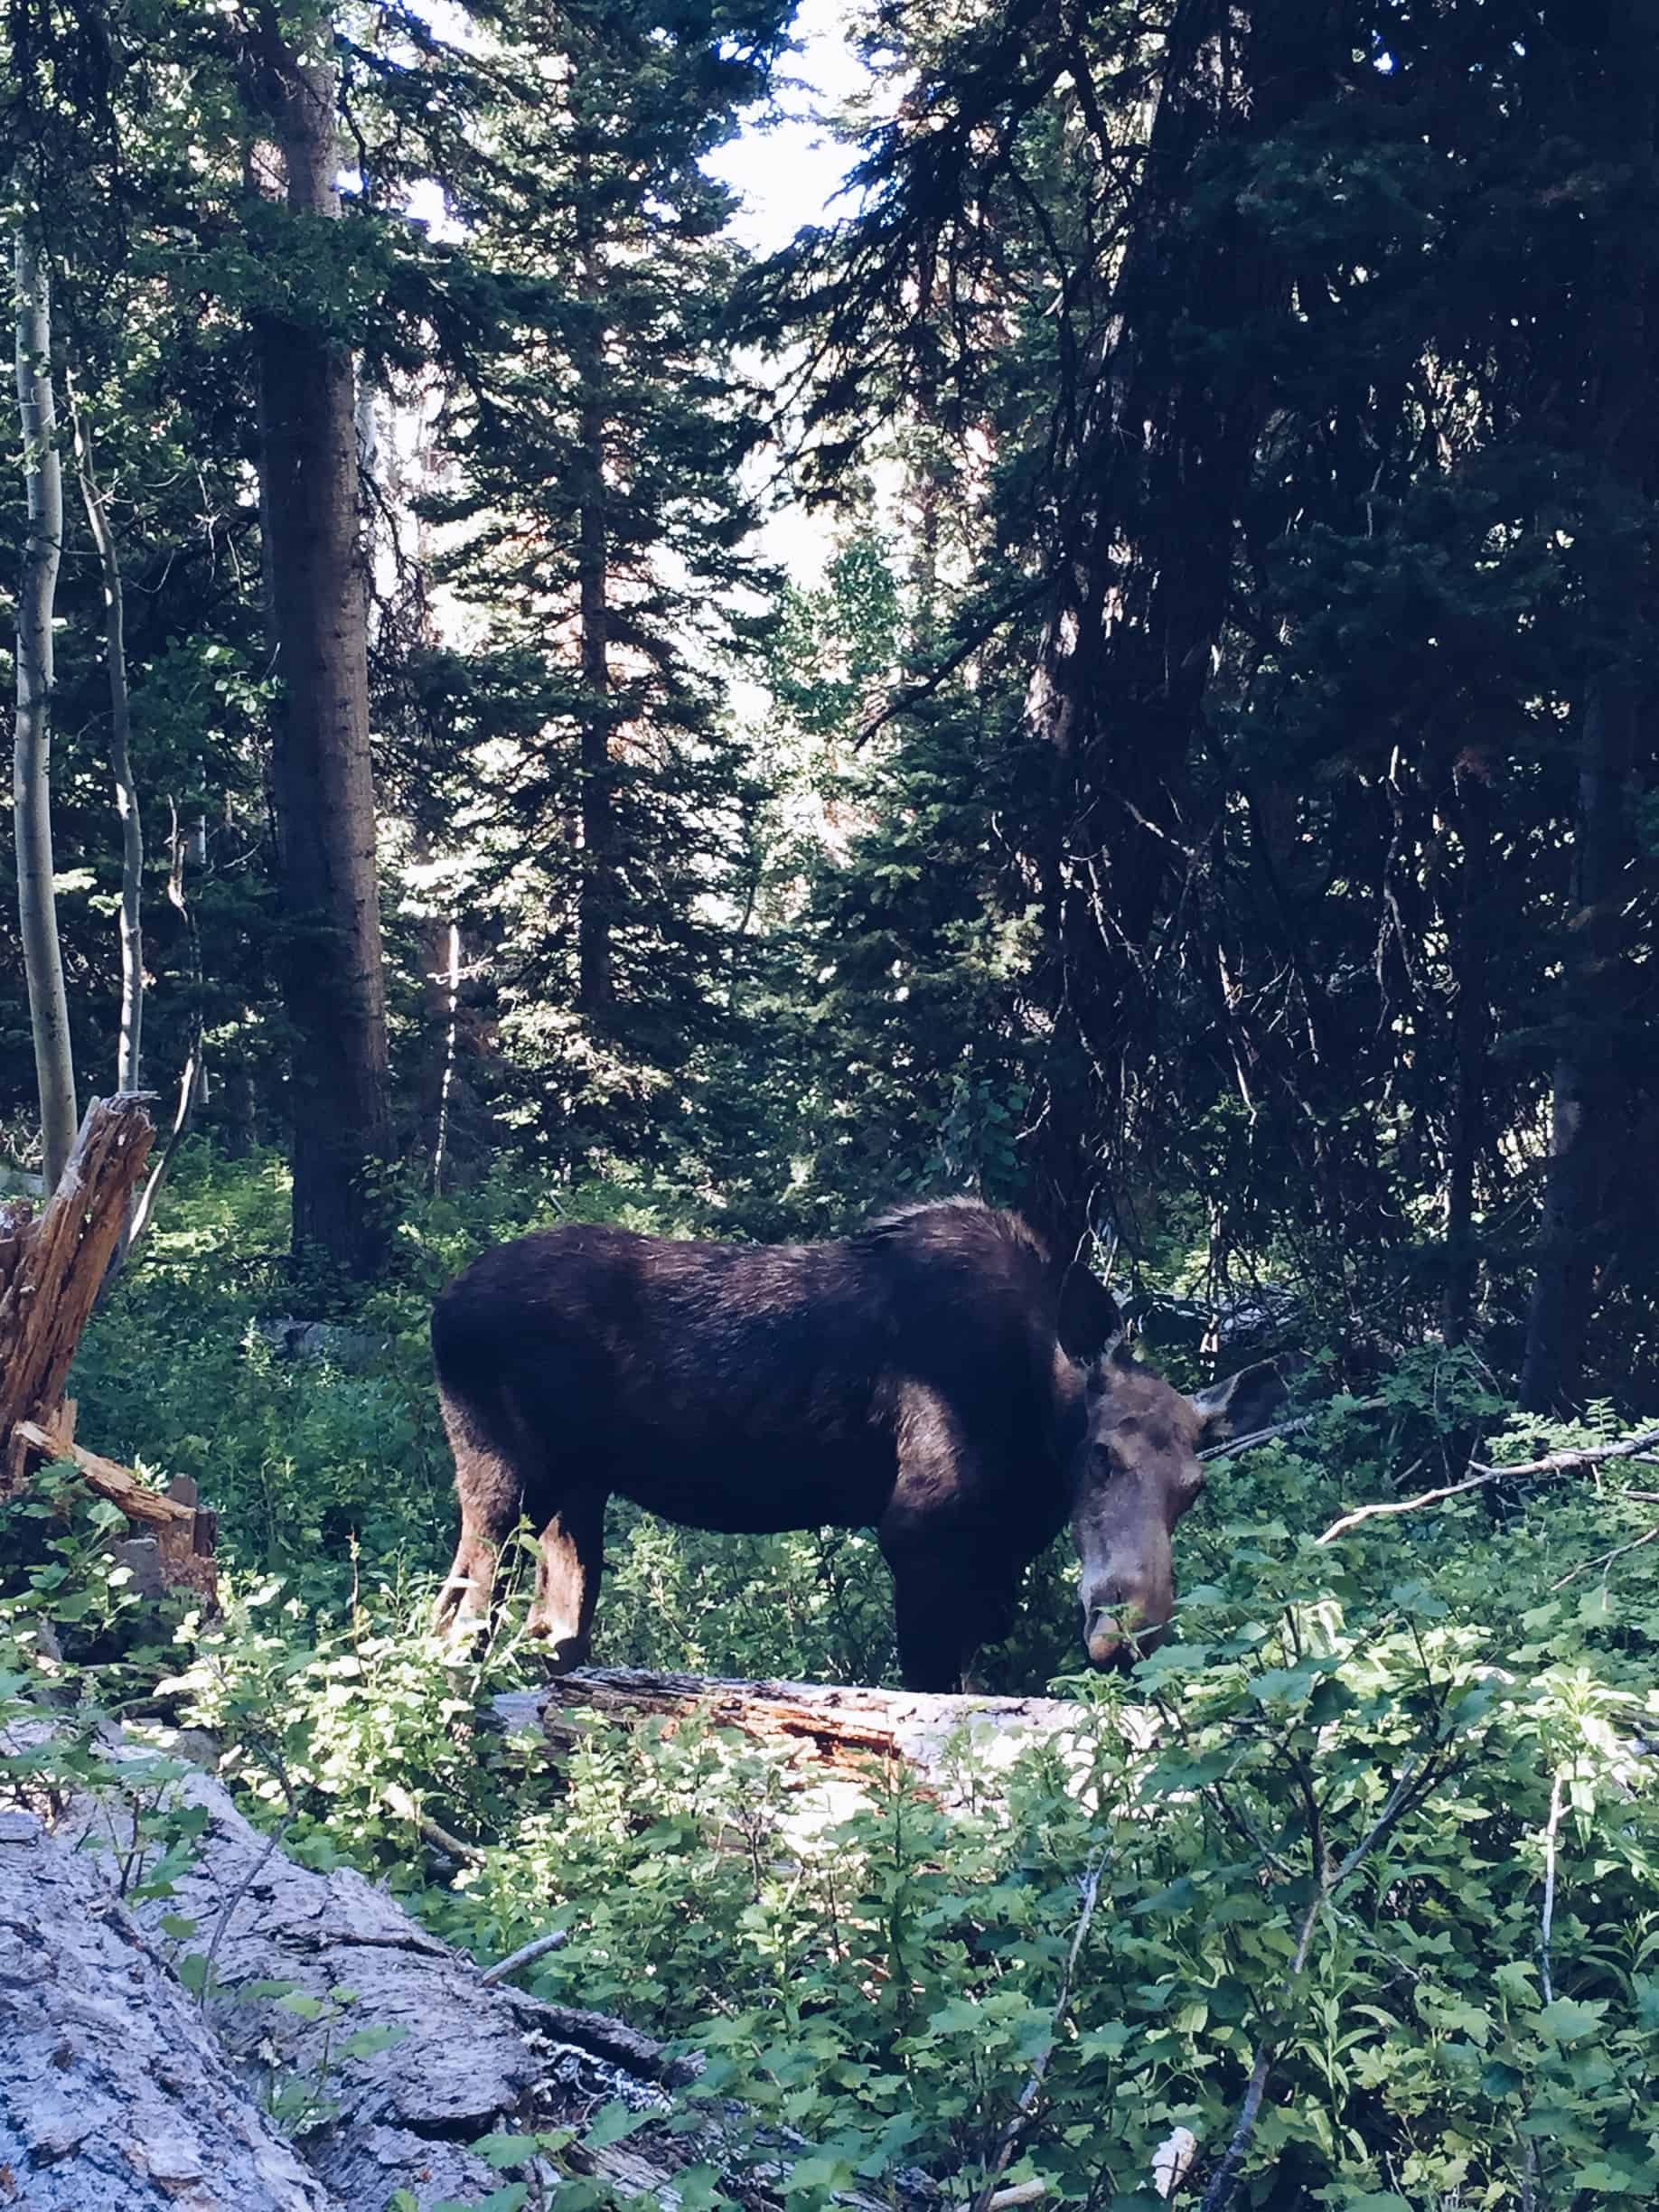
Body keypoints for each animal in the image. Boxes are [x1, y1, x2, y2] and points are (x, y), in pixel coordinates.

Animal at [431, 1203, 1282, 1681]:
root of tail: (442, 1310)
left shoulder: (993, 1553)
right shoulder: (916, 1529)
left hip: (576, 1496)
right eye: (1102, 1456)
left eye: (1194, 1488)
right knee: (454, 1620)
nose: (1131, 1633)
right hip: (500, 1480)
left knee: (553, 1634)